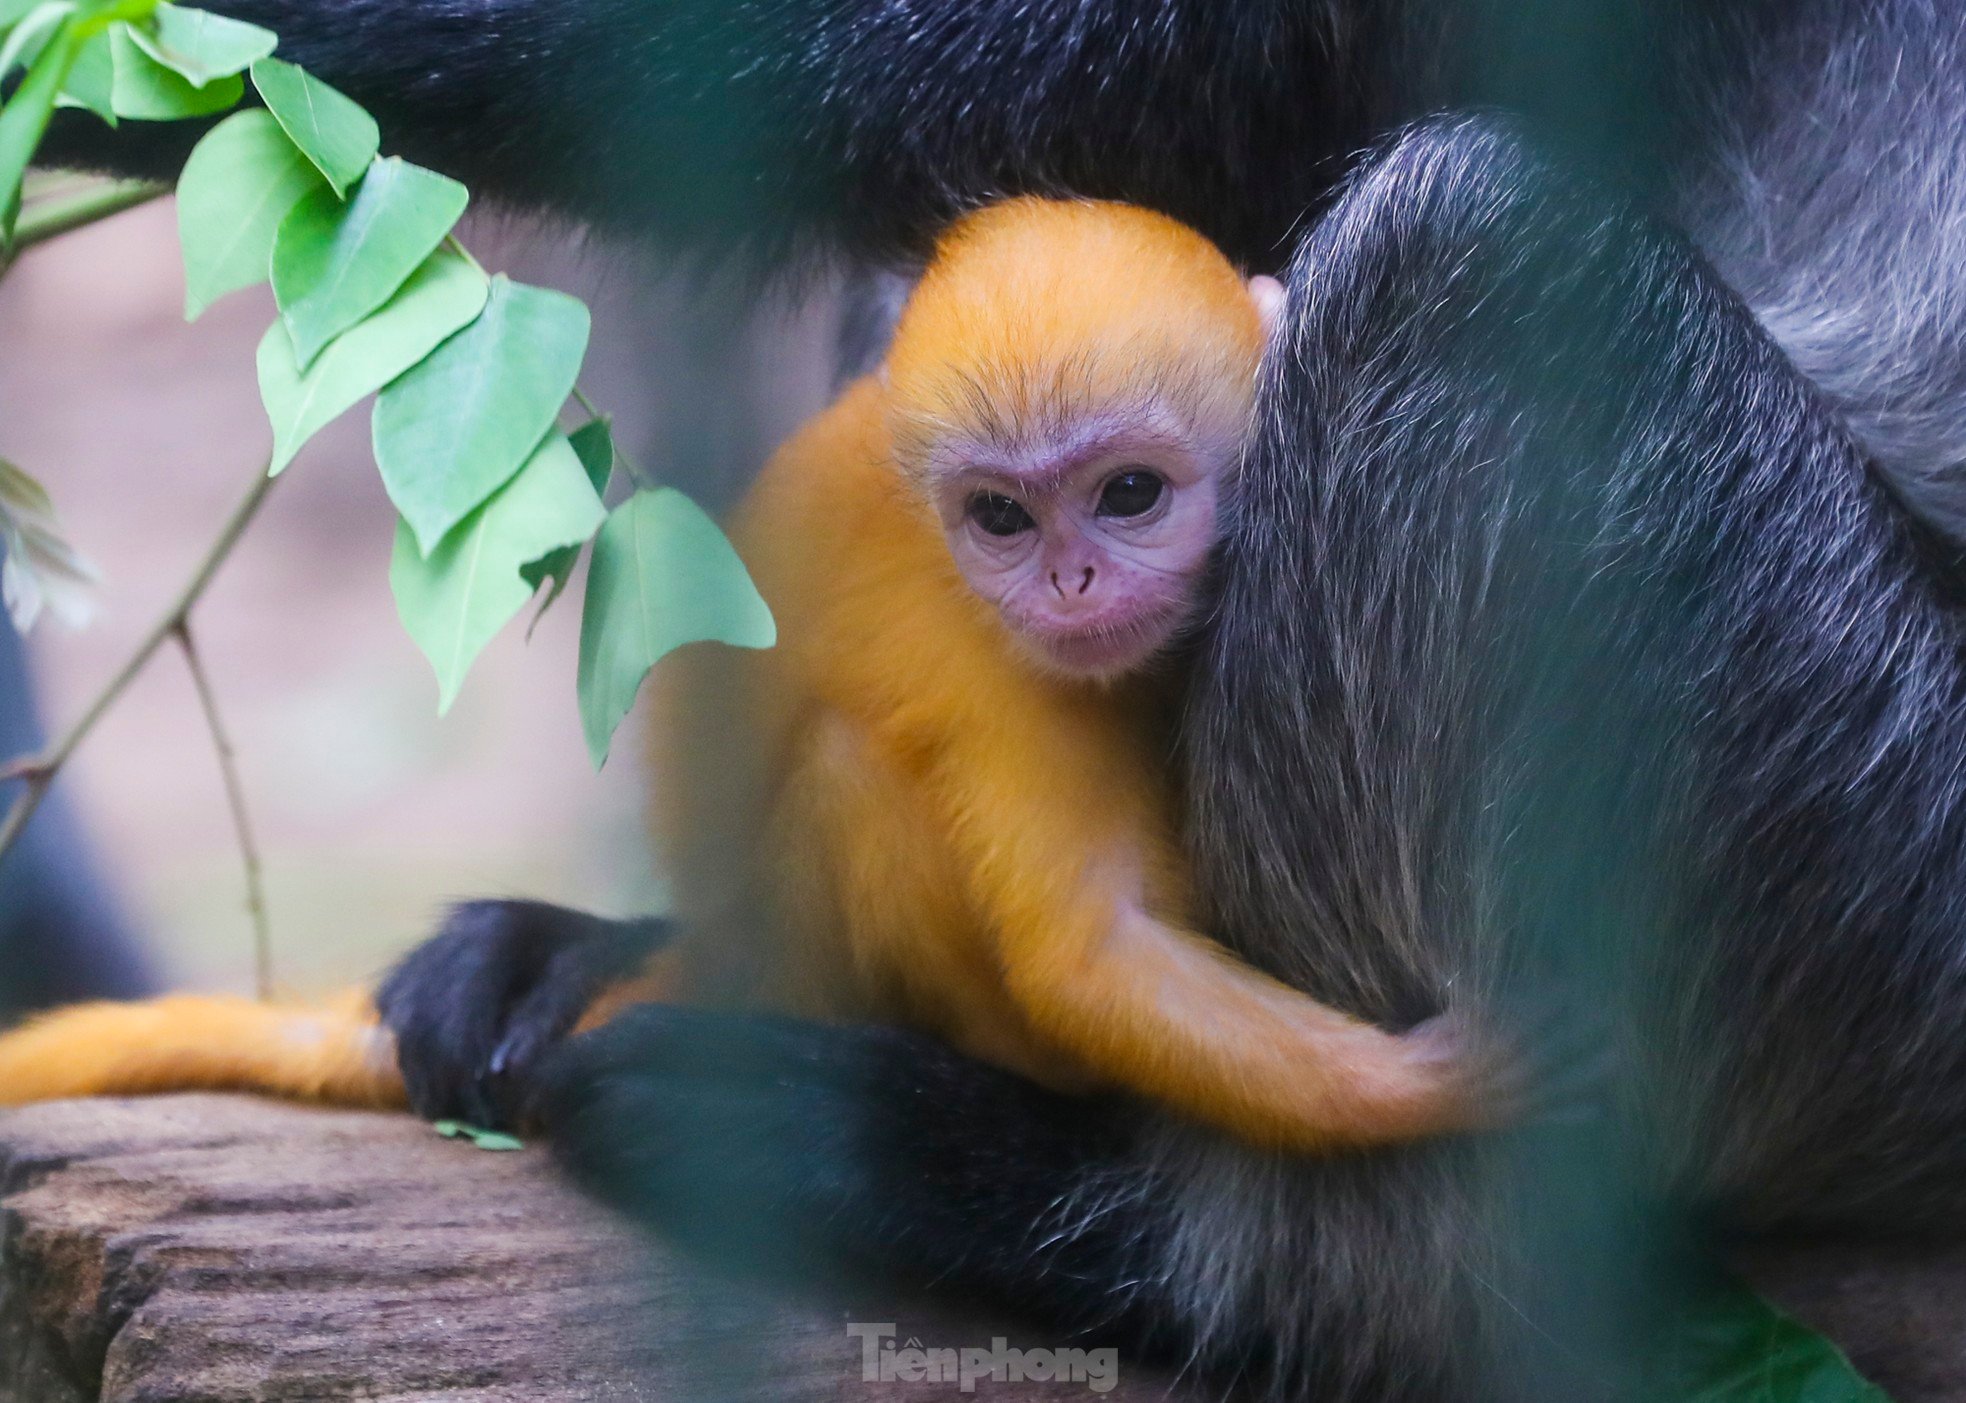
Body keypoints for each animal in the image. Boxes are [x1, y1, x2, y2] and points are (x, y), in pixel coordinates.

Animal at [0, 199, 1517, 1155]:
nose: (1071, 585)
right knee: (855, 781)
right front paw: (1448, 1083)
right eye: (1000, 518)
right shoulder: (1000, 662)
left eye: (1129, 494)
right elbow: (1093, 944)